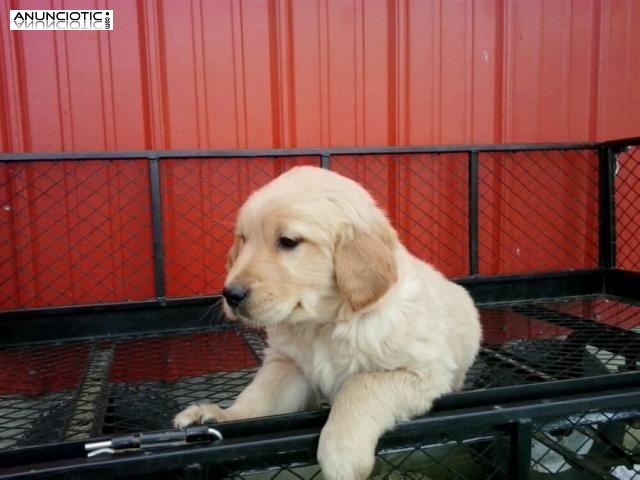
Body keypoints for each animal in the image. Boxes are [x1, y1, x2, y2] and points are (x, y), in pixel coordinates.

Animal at [174, 166, 480, 480]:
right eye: (243, 239)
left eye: (288, 242)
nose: (231, 295)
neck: (323, 323)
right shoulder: (289, 365)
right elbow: (260, 396)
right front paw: (220, 415)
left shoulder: (423, 371)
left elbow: (359, 386)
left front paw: (342, 455)